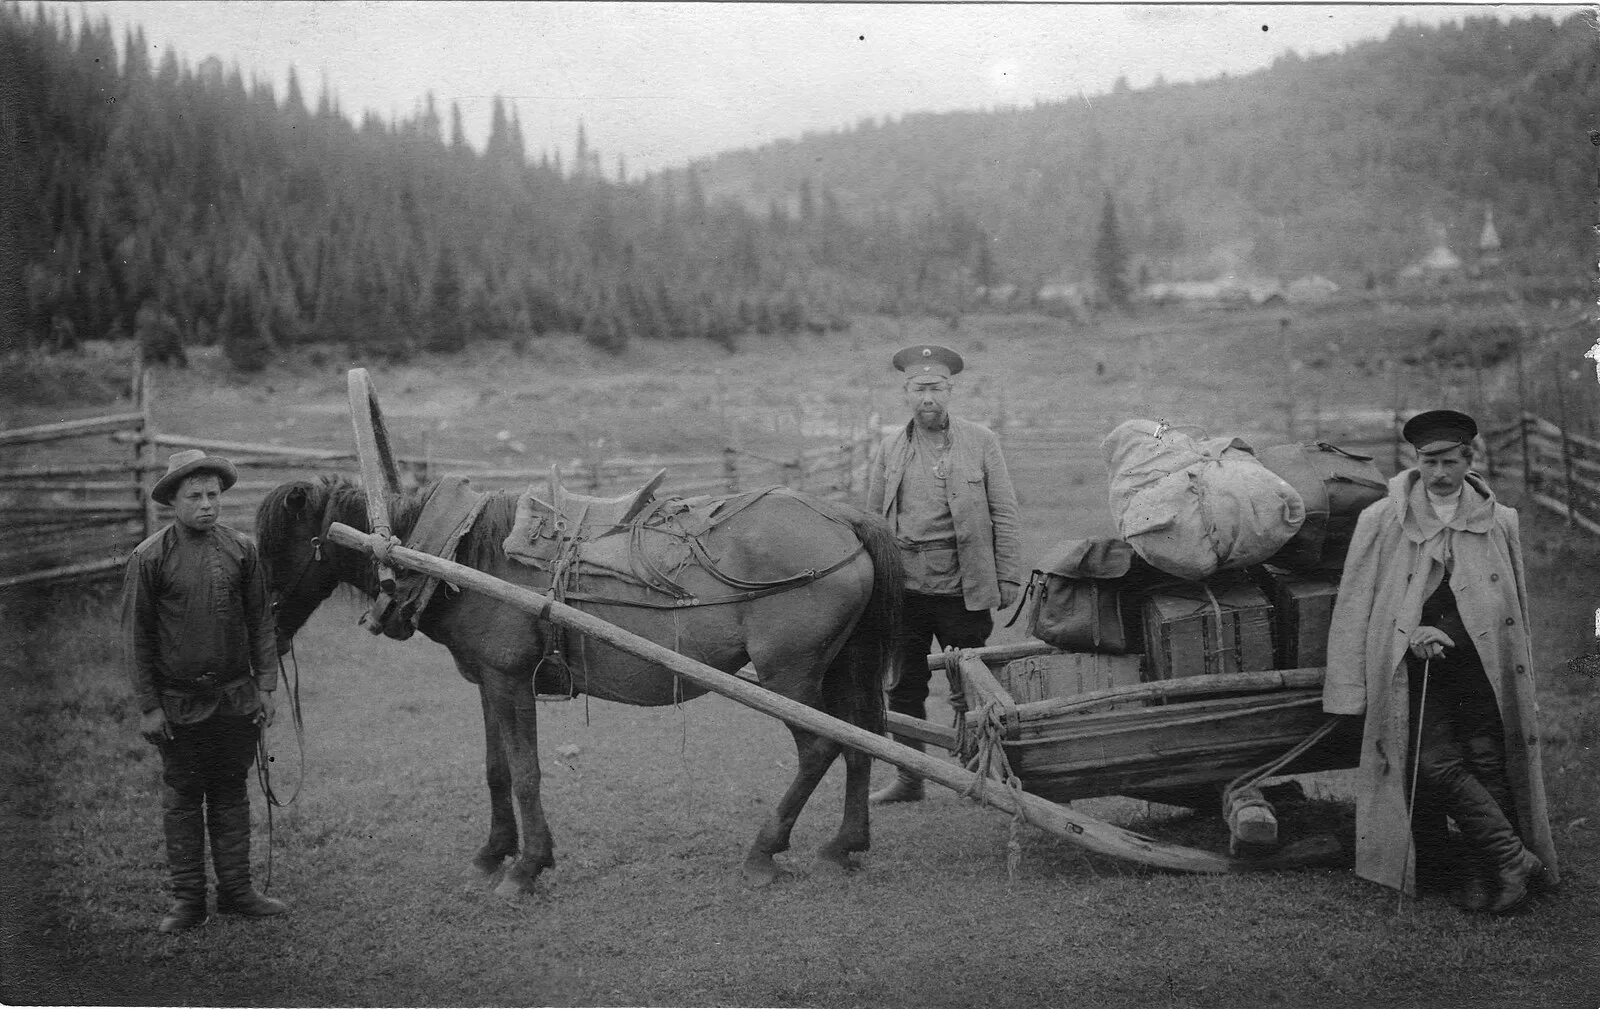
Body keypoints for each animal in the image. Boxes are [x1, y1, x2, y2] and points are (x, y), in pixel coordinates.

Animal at [249, 473, 902, 889]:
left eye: (277, 545)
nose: (265, 627)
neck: (458, 555)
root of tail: (841, 518)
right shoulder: (488, 680)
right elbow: (496, 770)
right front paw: (492, 854)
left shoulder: (512, 680)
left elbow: (527, 773)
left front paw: (526, 868)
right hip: (839, 667)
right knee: (862, 742)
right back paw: (845, 844)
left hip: (788, 676)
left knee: (821, 747)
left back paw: (764, 853)